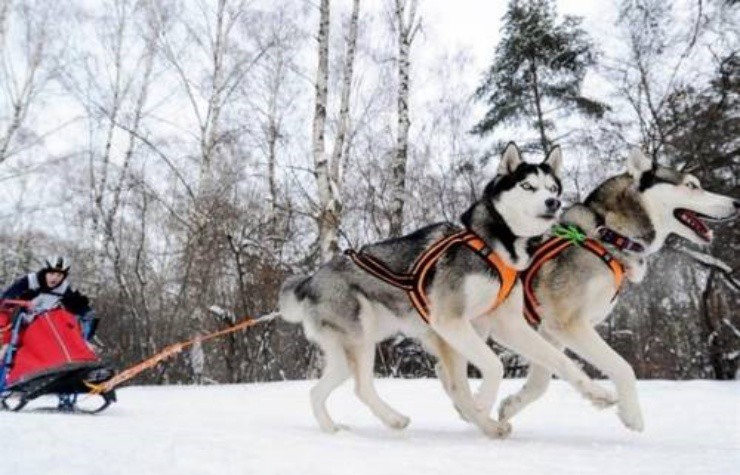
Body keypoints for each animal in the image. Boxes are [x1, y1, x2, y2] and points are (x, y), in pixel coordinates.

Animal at [278, 145, 620, 438]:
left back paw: (349, 426)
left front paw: (598, 393)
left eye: (552, 188)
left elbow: (559, 361)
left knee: (322, 390)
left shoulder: (506, 325)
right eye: (527, 186)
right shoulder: (450, 321)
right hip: (360, 340)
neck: (495, 246)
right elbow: (492, 368)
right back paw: (383, 421)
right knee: (360, 387)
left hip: (350, 351)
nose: (554, 203)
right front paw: (480, 408)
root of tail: (312, 279)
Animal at [488, 151, 736, 434]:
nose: (736, 203)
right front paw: (632, 415)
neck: (607, 236)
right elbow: (623, 366)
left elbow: (541, 382)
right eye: (692, 185)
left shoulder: (550, 331)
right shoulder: (570, 324)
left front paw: (510, 406)